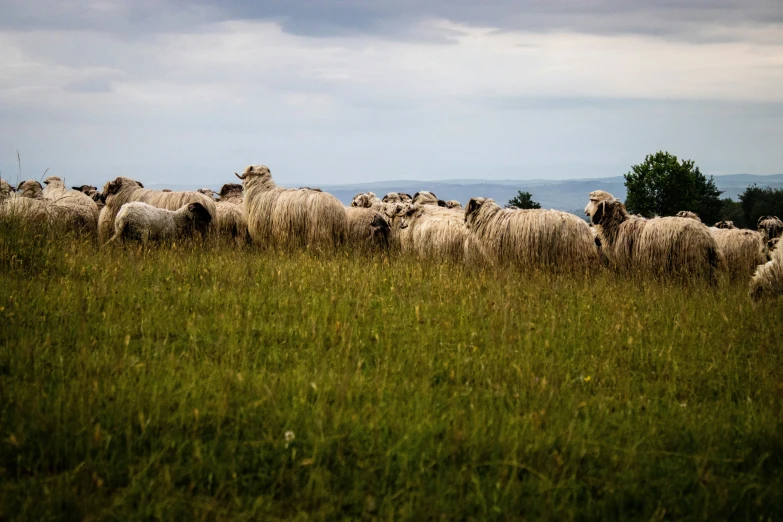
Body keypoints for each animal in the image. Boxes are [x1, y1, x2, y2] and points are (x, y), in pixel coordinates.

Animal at [588, 194, 724, 280]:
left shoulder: (628, 266)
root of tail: (708, 239)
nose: (593, 220)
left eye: (600, 207)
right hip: (708, 267)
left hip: (693, 264)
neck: (618, 226)